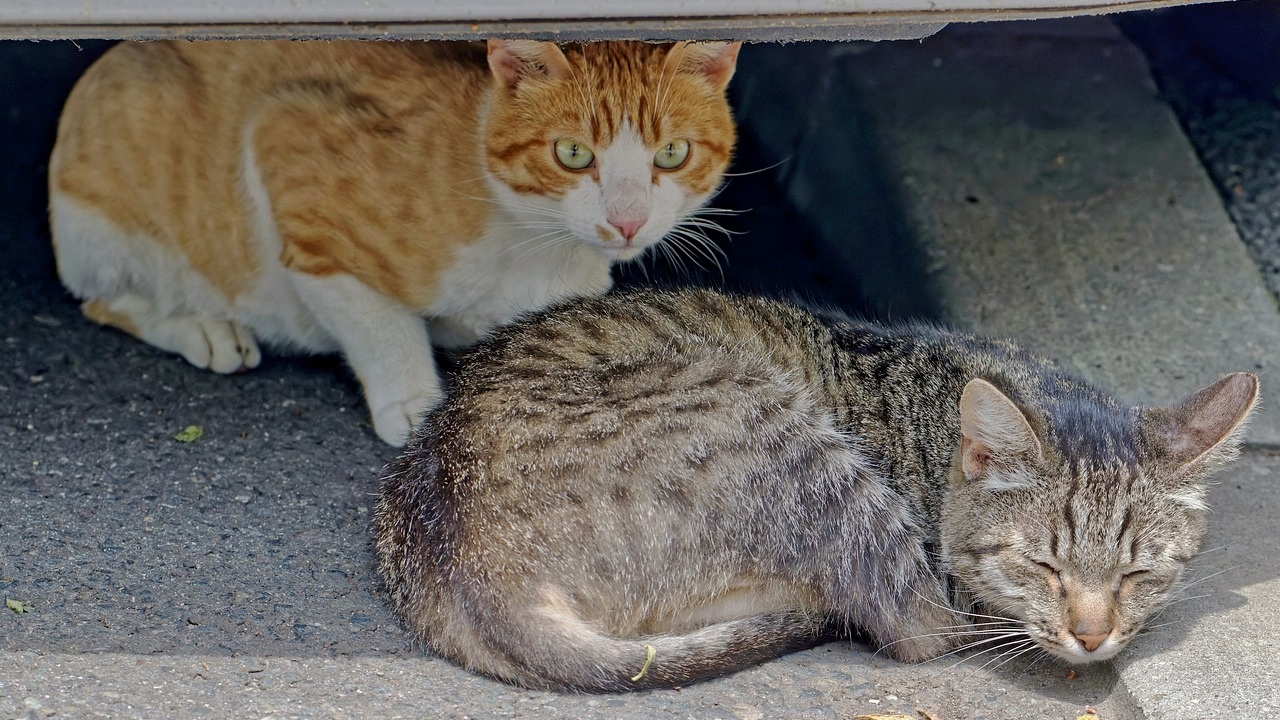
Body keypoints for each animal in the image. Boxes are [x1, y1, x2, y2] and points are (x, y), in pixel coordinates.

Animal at [52, 40, 742, 443]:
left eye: (672, 153)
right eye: (572, 154)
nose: (627, 221)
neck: (533, 244)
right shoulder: (286, 143)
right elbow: (379, 324)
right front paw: (414, 401)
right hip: (108, 219)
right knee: (107, 300)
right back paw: (205, 329)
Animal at [373, 284, 1254, 691]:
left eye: (1140, 572)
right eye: (1042, 566)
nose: (1094, 637)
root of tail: (455, 557)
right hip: (800, 445)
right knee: (910, 625)